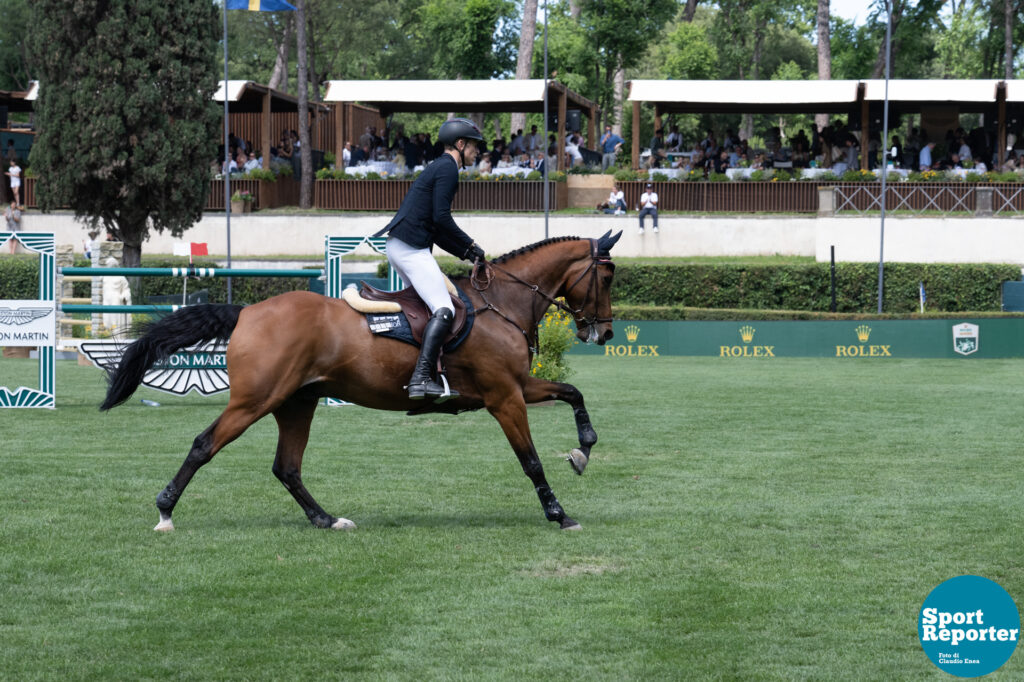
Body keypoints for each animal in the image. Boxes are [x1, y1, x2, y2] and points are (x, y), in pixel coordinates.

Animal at [99, 231, 618, 532]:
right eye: (609, 276)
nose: (605, 332)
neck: (502, 304)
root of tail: (247, 311)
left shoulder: (518, 385)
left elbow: (573, 394)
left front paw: (582, 451)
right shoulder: (504, 396)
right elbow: (530, 461)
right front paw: (559, 514)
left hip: (297, 402)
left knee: (286, 467)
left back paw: (326, 519)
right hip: (255, 401)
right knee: (205, 445)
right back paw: (165, 511)